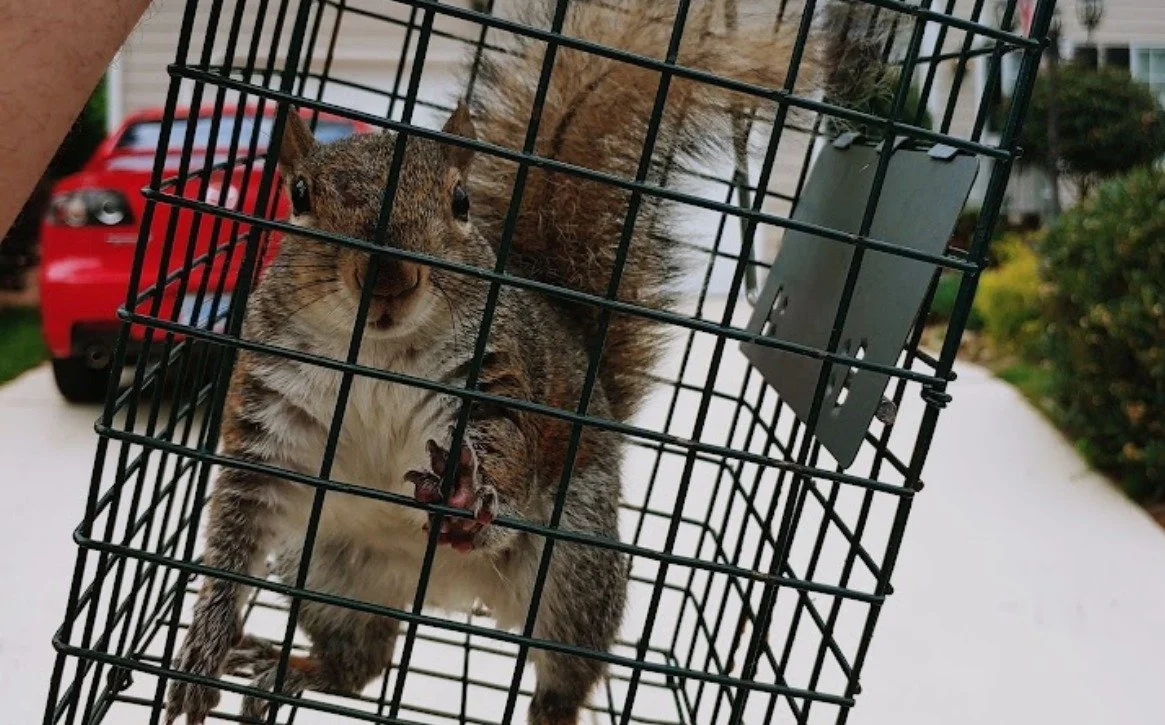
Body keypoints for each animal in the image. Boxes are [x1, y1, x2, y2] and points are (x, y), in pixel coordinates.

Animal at [165, 1, 887, 723]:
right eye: (299, 195)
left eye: (459, 201)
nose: (389, 278)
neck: (376, 353)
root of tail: (443, 593)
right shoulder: (269, 408)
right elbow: (234, 536)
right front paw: (199, 659)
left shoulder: (494, 377)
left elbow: (505, 448)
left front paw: (464, 494)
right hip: (325, 567)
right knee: (361, 662)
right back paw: (295, 666)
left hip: (570, 566)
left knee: (568, 672)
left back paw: (545, 701)